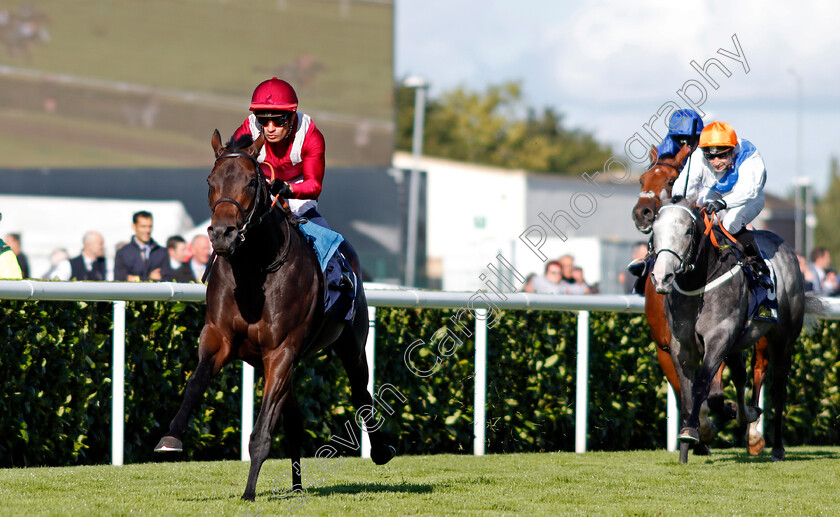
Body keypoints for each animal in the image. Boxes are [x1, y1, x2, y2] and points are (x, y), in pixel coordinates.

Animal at [154, 129, 398, 500]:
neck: (254, 270)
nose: (222, 234)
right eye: (210, 181)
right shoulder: (219, 337)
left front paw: (248, 492)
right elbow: (195, 383)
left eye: (253, 182)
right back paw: (297, 486)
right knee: (295, 422)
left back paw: (381, 451)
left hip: (351, 344)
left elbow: (262, 430)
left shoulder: (281, 351)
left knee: (361, 394)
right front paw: (171, 437)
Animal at [632, 144, 772, 452]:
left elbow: (713, 388)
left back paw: (754, 434)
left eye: (671, 180)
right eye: (642, 180)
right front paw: (699, 431)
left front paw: (719, 417)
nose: (642, 213)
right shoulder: (666, 347)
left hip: (762, 334)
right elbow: (683, 390)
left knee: (759, 370)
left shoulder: (716, 335)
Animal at [648, 198, 808, 464]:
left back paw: (777, 448)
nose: (662, 278)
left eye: (688, 231)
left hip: (783, 339)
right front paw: (687, 444)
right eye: (654, 230)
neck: (699, 285)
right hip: (738, 343)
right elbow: (689, 393)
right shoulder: (681, 346)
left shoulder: (719, 338)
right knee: (741, 377)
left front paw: (692, 432)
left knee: (778, 389)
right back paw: (747, 414)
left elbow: (702, 384)